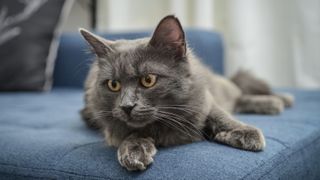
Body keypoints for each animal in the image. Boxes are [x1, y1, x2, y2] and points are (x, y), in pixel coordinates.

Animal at [79, 15, 292, 172]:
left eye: (148, 80)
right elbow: (128, 132)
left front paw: (245, 132)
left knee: (239, 95)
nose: (127, 106)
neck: (164, 121)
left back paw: (279, 100)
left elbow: (219, 114)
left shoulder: (204, 99)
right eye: (113, 85)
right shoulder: (111, 125)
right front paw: (134, 150)